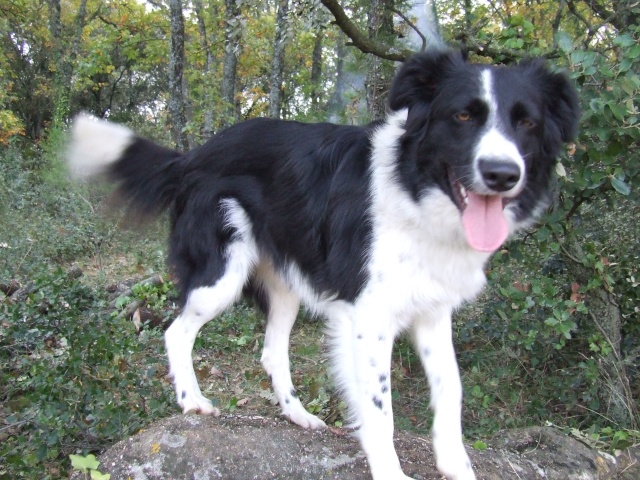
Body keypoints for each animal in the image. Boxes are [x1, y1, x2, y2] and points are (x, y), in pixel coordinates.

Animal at [66, 49, 580, 480]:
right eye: (463, 116)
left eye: (527, 123)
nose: (502, 174)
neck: (415, 188)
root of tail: (192, 155)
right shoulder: (369, 316)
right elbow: (379, 407)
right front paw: (391, 472)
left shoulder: (433, 312)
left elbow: (450, 389)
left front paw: (457, 466)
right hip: (222, 272)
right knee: (177, 331)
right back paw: (193, 401)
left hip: (286, 283)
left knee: (271, 350)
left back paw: (299, 416)